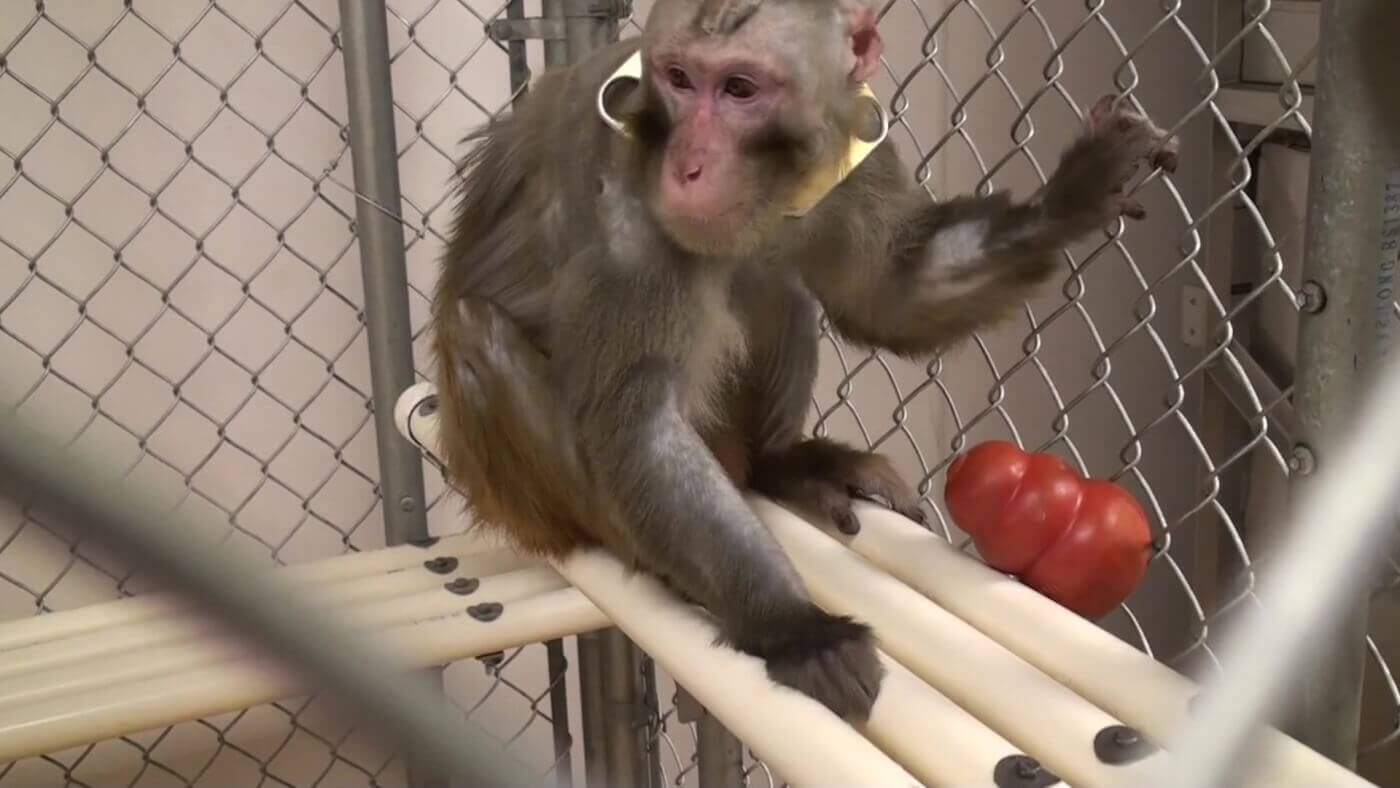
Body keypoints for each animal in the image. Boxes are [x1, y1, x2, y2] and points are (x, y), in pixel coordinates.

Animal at [431, 0, 1176, 722]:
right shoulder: (623, 191)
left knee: (773, 280)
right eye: (678, 80)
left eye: (740, 88)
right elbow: (637, 418)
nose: (687, 165)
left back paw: (779, 463)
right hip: (531, 498)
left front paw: (1071, 198)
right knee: (477, 328)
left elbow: (887, 292)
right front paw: (793, 628)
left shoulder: (855, 146)